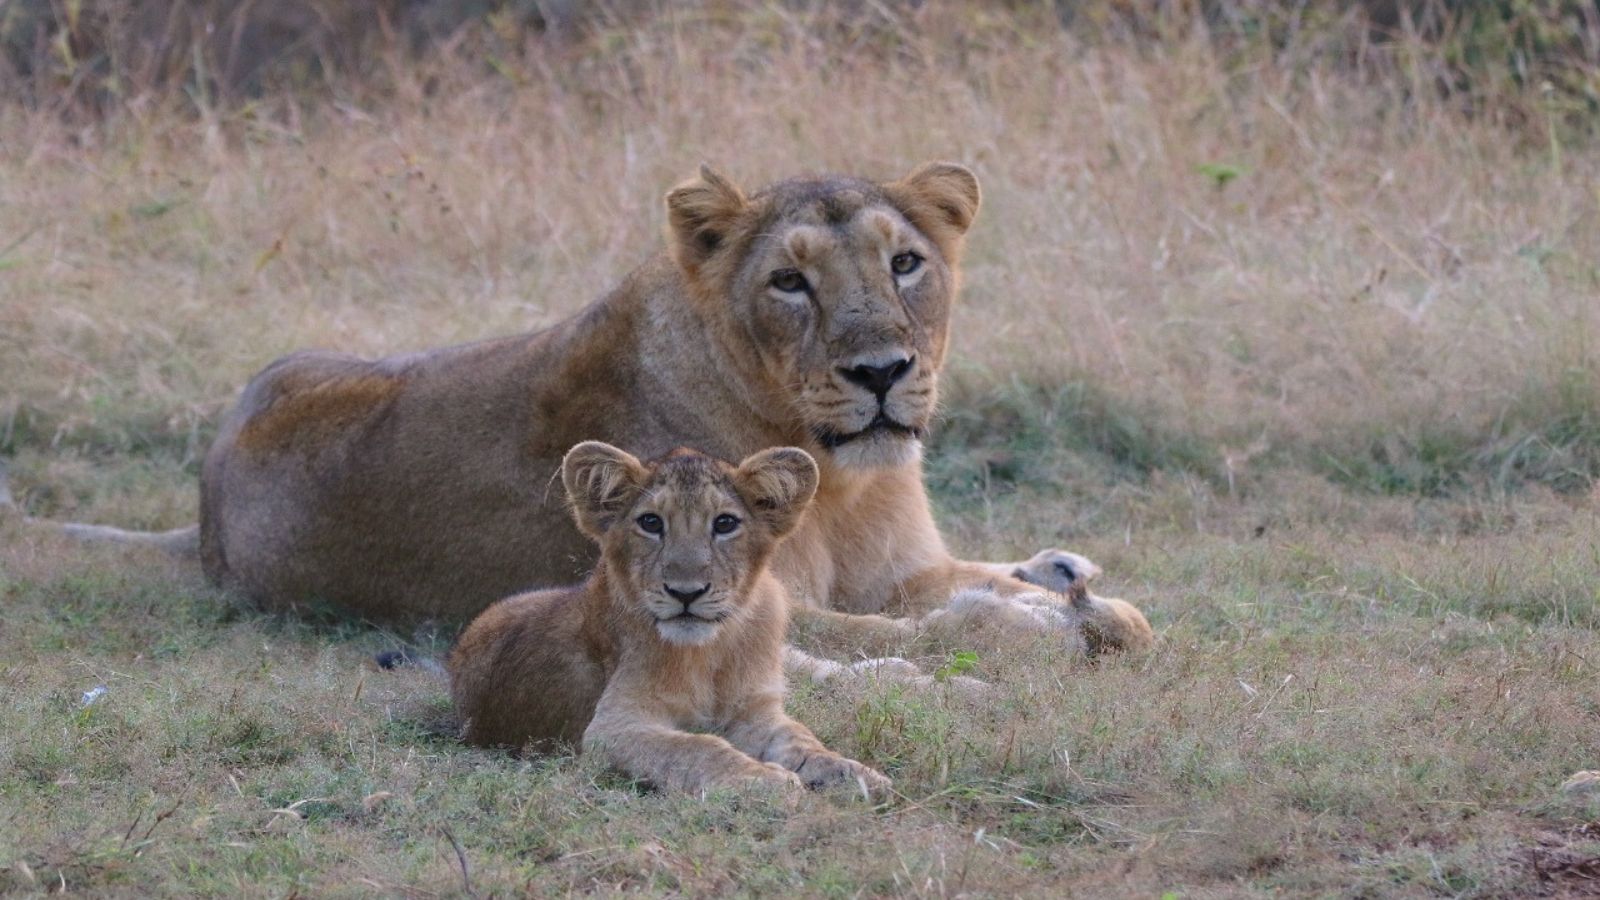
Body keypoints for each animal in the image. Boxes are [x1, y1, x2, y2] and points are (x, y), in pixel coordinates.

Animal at [53, 162, 1151, 656]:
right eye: (790, 283)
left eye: (907, 262)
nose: (882, 369)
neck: (842, 480)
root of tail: (202, 503)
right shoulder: (748, 602)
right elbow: (938, 628)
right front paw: (1037, 620)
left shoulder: (901, 570)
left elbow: (1013, 596)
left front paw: (1087, 596)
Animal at [449, 441, 890, 796]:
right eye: (651, 522)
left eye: (725, 523)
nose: (686, 592)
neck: (712, 650)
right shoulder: (612, 729)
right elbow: (698, 747)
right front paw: (764, 780)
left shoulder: (756, 711)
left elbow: (803, 740)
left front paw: (853, 773)